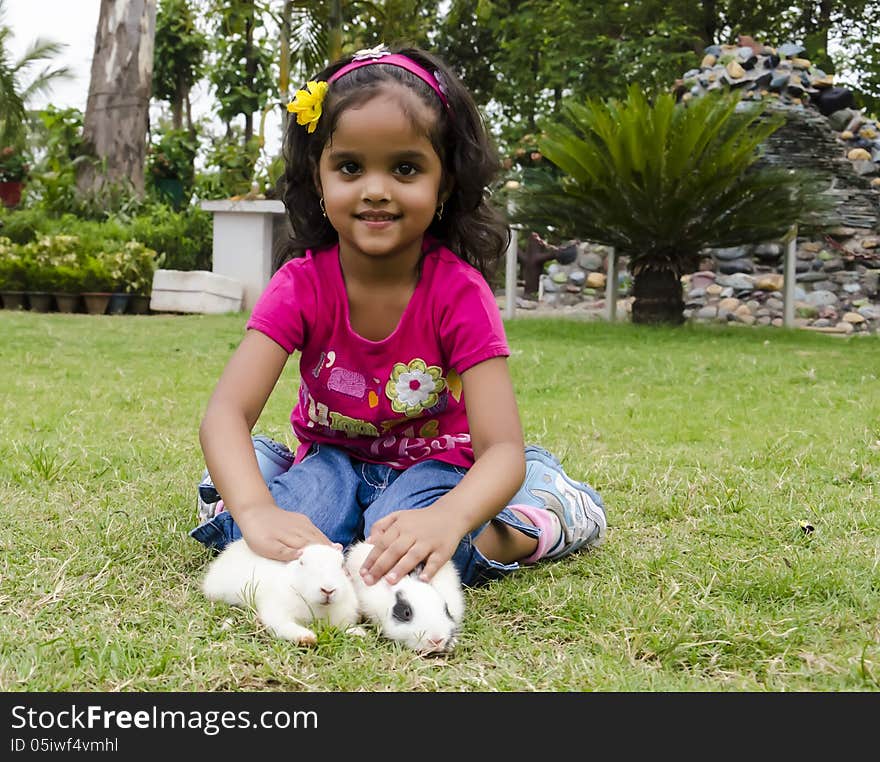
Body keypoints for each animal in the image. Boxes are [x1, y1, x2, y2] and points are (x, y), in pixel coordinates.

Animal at [201, 536, 362, 644]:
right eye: (302, 562)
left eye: (341, 565)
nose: (328, 590)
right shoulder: (277, 611)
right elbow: (284, 626)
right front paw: (307, 638)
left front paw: (357, 632)